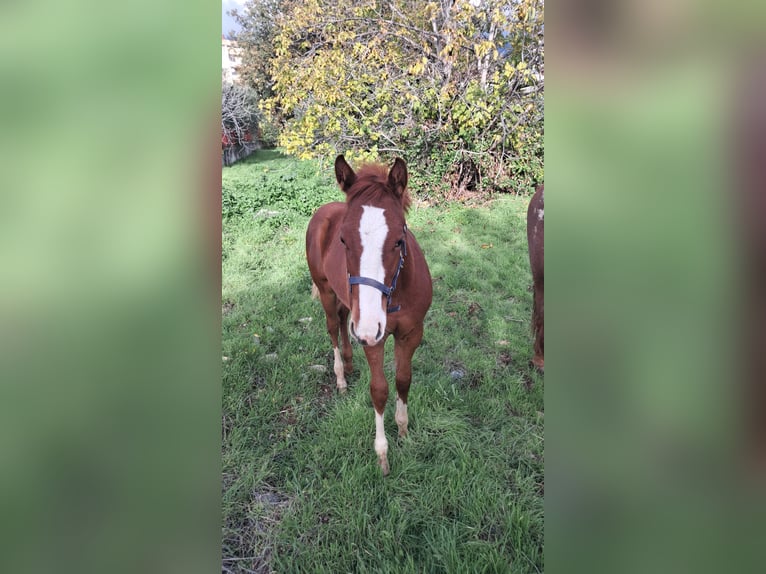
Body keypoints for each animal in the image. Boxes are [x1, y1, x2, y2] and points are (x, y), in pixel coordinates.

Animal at [306, 155, 433, 475]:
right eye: (342, 240)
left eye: (399, 239)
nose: (365, 328)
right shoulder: (374, 337)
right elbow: (379, 389)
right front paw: (382, 455)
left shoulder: (411, 333)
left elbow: (403, 379)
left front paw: (404, 431)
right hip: (327, 293)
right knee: (332, 327)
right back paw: (340, 377)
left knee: (342, 322)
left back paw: (350, 364)